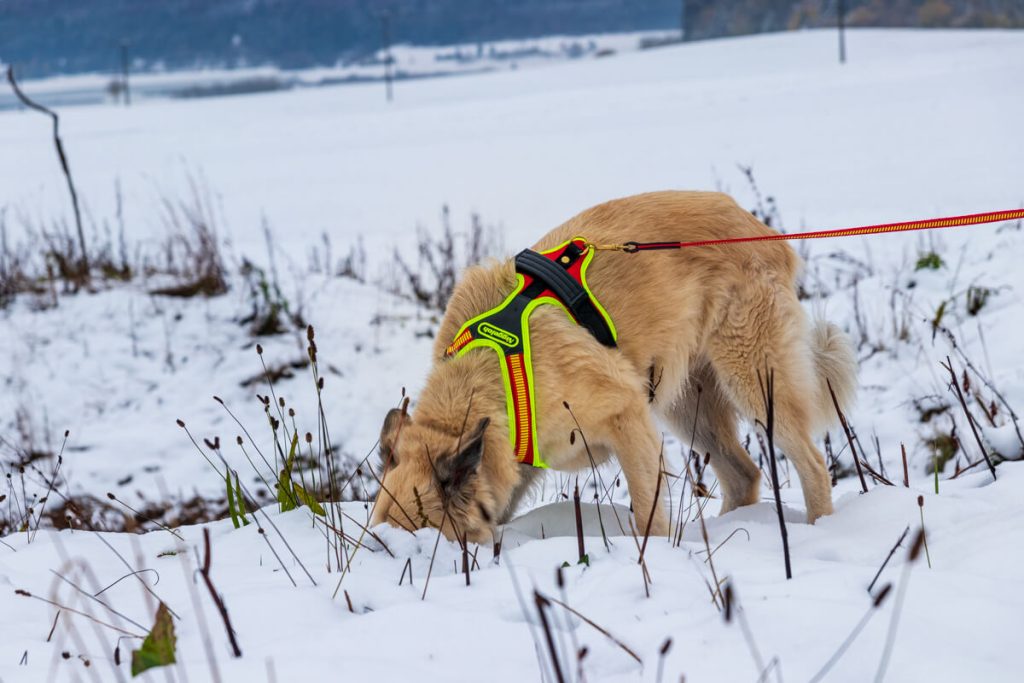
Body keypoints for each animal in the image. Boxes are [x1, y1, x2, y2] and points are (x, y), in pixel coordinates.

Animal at [368, 192, 856, 544]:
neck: (499, 372)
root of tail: (762, 230)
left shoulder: (628, 417)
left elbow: (648, 516)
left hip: (751, 380)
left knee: (812, 464)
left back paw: (818, 531)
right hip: (685, 406)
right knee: (744, 475)